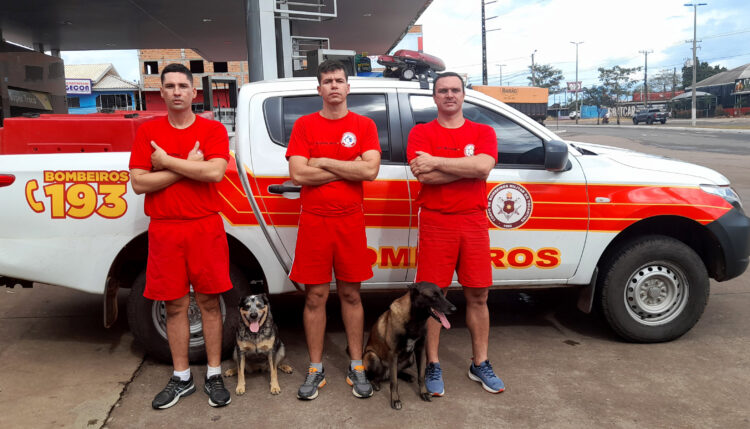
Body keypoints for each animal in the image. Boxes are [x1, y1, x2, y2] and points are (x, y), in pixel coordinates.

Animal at [364, 280, 458, 408]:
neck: (415, 320)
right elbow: (394, 382)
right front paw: (395, 399)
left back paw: (407, 376)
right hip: (372, 356)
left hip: (410, 359)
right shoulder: (393, 354)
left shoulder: (420, 350)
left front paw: (423, 393)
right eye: (434, 296)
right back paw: (375, 383)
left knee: (396, 372)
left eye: (443, 294)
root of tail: (385, 374)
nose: (454, 309)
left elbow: (421, 376)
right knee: (375, 376)